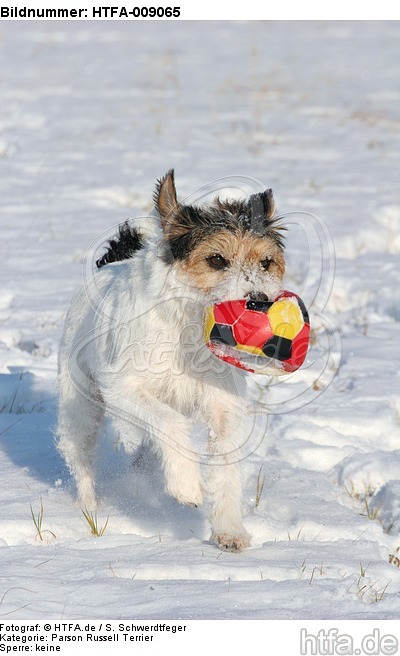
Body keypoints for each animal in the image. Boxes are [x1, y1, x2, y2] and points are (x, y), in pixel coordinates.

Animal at [56, 169, 286, 548]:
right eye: (216, 260)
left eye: (265, 262)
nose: (259, 301)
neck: (190, 324)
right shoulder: (125, 388)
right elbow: (170, 423)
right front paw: (187, 485)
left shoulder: (223, 405)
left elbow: (226, 466)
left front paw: (229, 530)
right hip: (80, 406)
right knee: (82, 455)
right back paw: (90, 512)